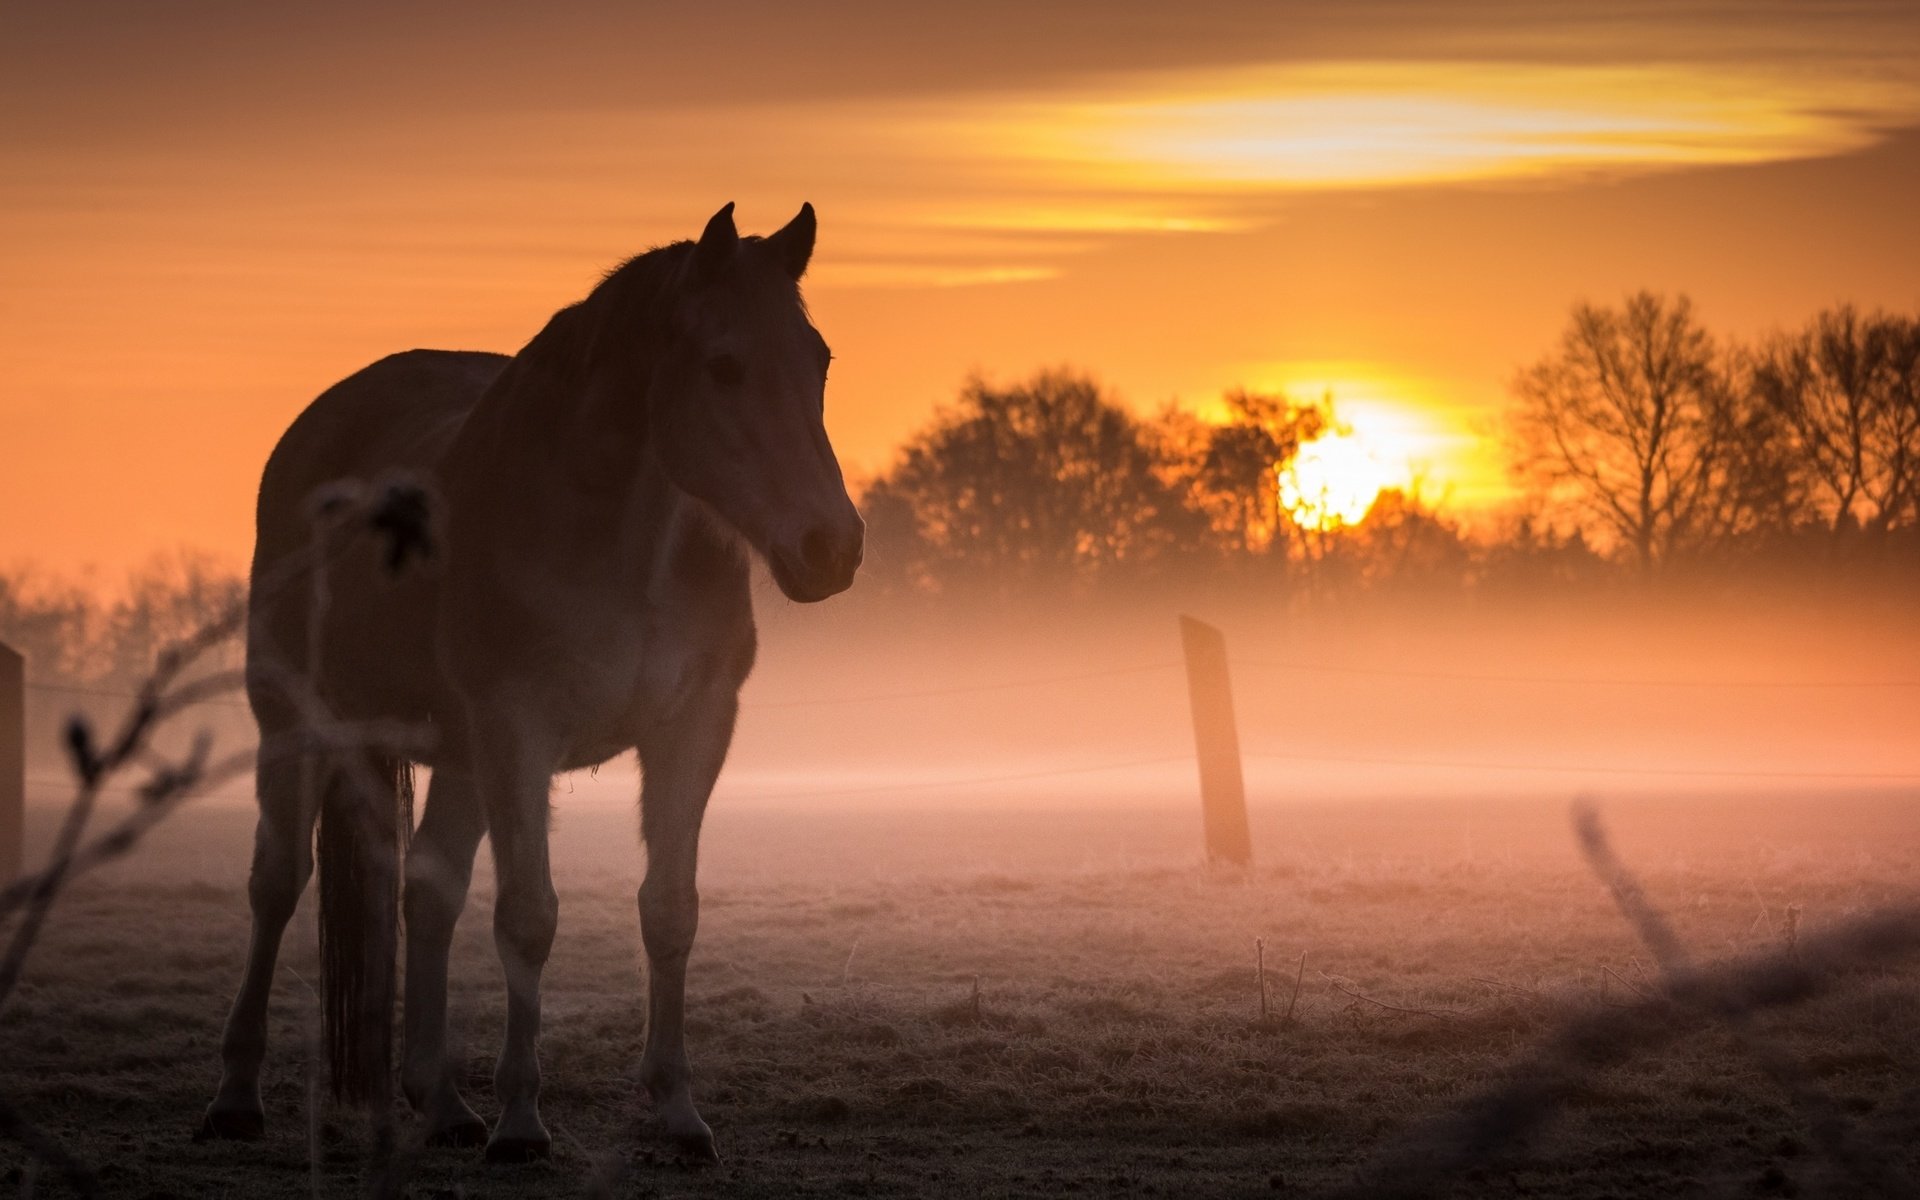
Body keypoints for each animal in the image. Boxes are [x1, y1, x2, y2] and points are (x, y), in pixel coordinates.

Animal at [200, 201, 864, 1159]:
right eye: (724, 365)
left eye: (818, 360)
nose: (831, 547)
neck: (622, 544)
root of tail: (317, 429)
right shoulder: (519, 732)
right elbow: (529, 916)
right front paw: (521, 1121)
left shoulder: (692, 730)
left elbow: (670, 910)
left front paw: (677, 1112)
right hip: (299, 722)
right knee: (277, 882)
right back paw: (236, 1097)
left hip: (459, 756)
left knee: (428, 890)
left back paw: (441, 1101)